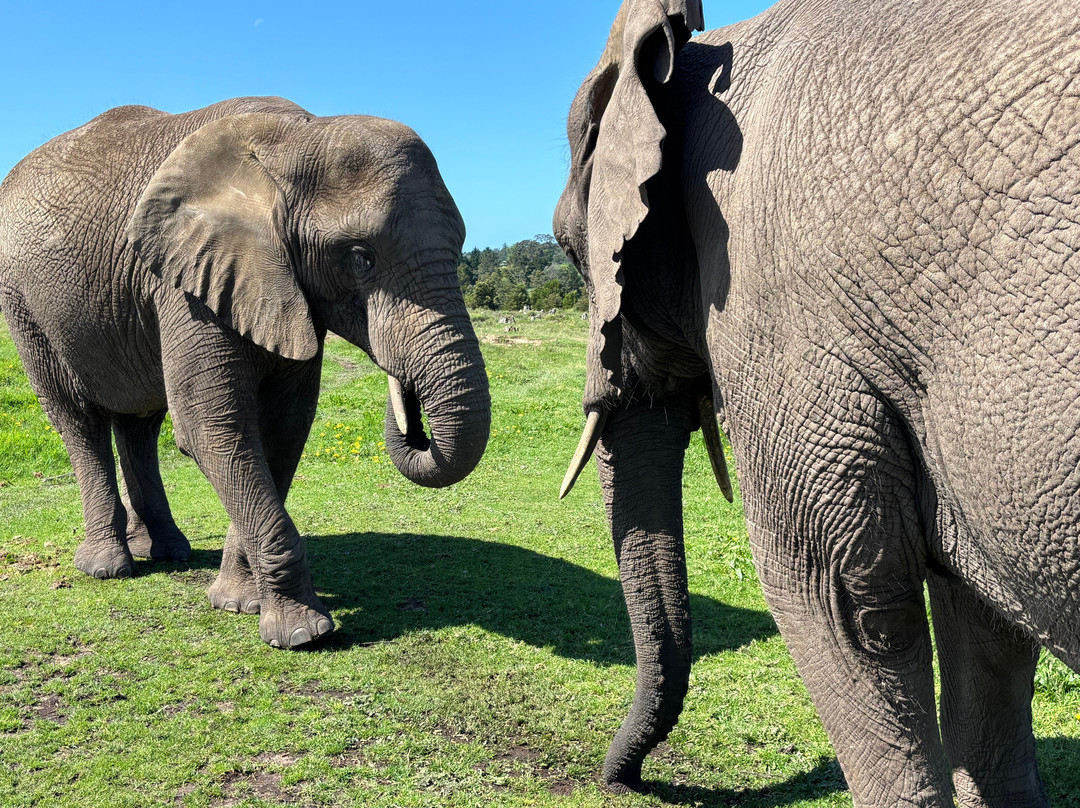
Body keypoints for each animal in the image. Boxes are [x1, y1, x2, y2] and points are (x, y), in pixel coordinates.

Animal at [0, 96, 490, 650]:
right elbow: (214, 428)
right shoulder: (188, 282)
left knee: (139, 423)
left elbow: (283, 429)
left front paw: (238, 604)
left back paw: (168, 552)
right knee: (77, 418)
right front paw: (302, 634)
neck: (297, 137)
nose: (413, 418)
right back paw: (107, 567)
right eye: (360, 257)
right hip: (23, 305)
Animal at [554, 0, 1080, 804]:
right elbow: (982, 620)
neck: (704, 57)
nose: (623, 779)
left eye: (568, 251)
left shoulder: (779, 319)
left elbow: (839, 595)